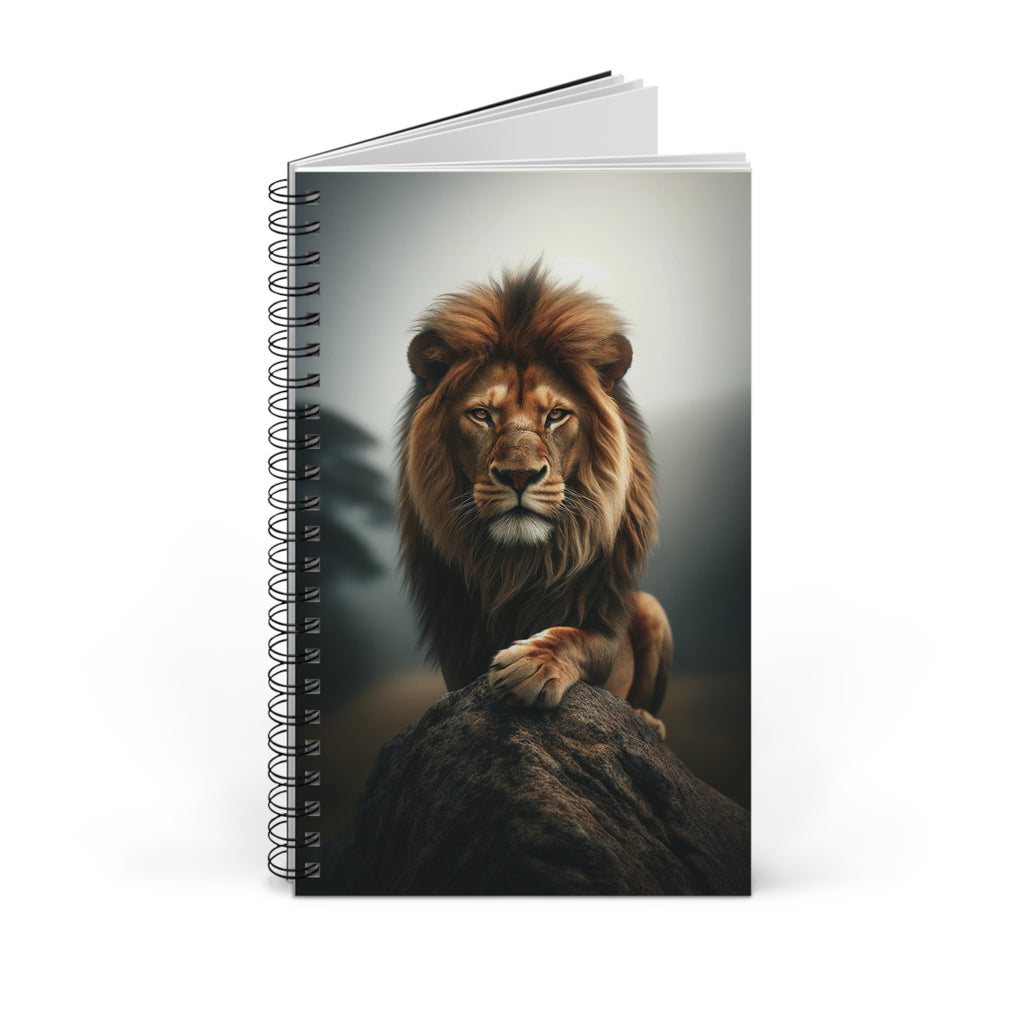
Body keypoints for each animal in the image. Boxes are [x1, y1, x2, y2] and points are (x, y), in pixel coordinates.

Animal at [397, 263, 672, 735]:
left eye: (556, 415)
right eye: (482, 415)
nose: (520, 475)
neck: (518, 563)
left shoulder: (604, 628)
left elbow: (575, 638)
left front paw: (530, 665)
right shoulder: (457, 651)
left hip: (653, 609)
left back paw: (649, 722)